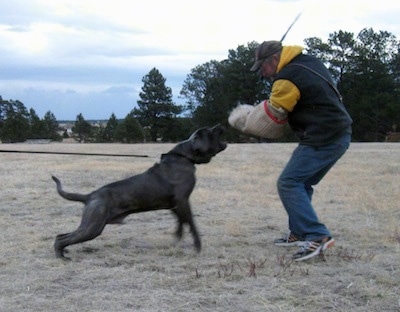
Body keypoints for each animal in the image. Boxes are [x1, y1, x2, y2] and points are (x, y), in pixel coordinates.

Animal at [51, 123, 227, 258]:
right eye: (209, 132)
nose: (220, 125)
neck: (185, 156)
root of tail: (90, 196)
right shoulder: (183, 200)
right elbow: (191, 223)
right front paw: (197, 246)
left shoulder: (175, 204)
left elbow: (181, 222)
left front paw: (177, 238)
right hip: (93, 227)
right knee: (62, 238)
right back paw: (61, 256)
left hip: (91, 226)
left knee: (61, 235)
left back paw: (64, 252)